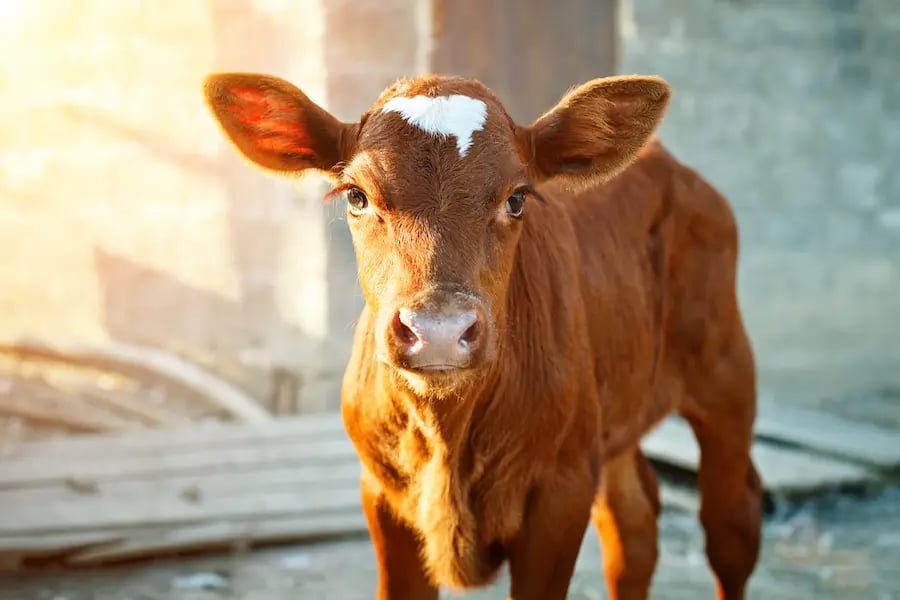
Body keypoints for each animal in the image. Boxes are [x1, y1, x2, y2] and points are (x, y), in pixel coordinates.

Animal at [203, 71, 762, 600]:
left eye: (516, 199)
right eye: (357, 196)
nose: (439, 331)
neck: (447, 436)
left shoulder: (562, 489)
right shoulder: (382, 490)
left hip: (726, 374)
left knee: (731, 526)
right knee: (634, 525)